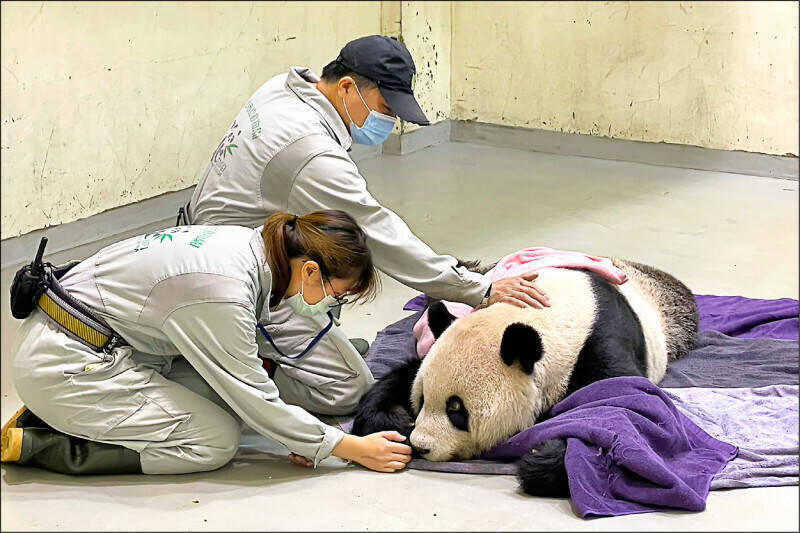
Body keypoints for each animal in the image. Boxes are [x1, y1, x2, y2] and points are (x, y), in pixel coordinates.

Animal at [354, 256, 696, 496]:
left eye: (456, 410)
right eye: (423, 398)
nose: (422, 445)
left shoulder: (600, 343)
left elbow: (624, 407)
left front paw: (541, 457)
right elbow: (403, 373)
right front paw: (395, 420)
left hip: (675, 319)